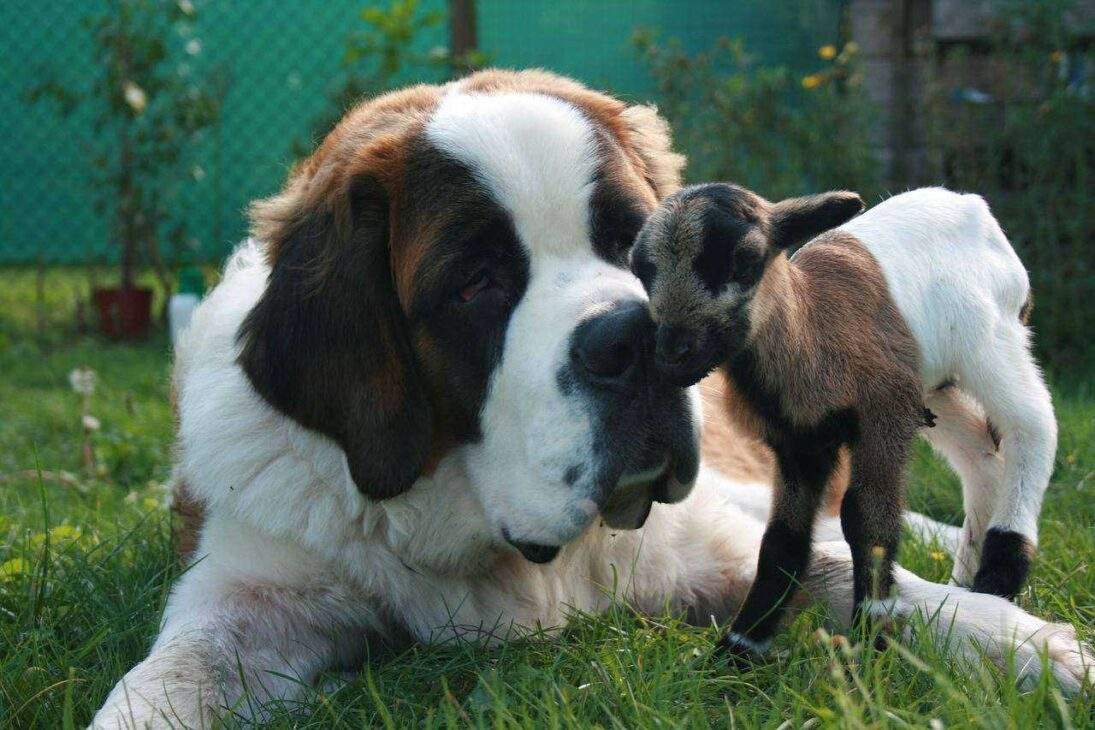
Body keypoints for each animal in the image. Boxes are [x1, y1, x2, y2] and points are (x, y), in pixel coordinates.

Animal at [630, 183, 1055, 661]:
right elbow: (783, 538)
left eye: (744, 259)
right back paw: (967, 581)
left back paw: (1002, 569)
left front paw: (873, 633)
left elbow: (866, 519)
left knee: (1033, 426)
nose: (671, 354)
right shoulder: (799, 445)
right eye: (642, 270)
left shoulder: (883, 417)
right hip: (934, 384)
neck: (811, 331)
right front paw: (740, 647)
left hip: (992, 341)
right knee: (979, 455)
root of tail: (970, 204)